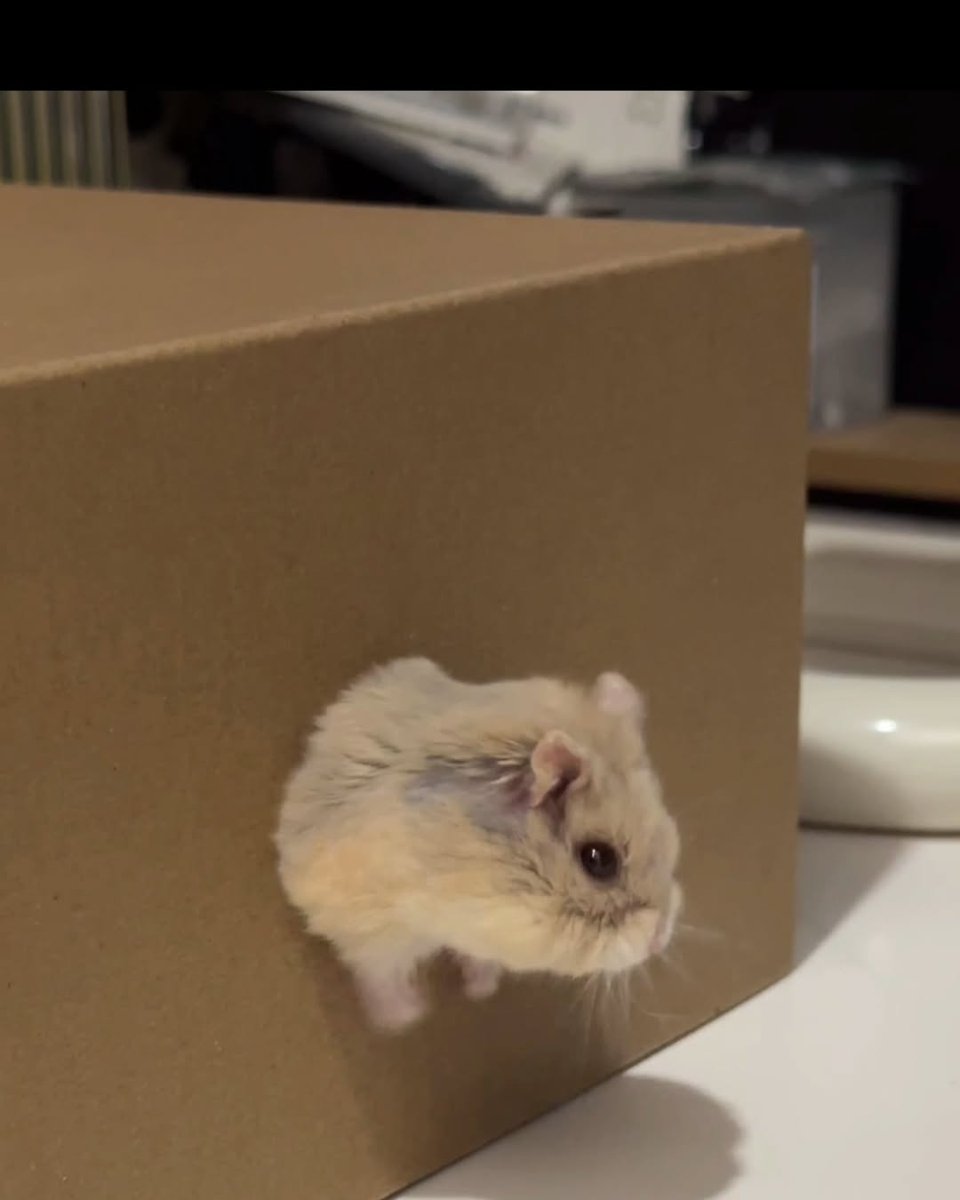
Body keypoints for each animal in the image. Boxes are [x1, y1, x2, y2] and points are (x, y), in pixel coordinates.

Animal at [275, 658, 681, 1032]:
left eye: (670, 837)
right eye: (598, 859)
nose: (660, 940)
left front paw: (478, 993)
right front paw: (419, 1014)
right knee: (378, 970)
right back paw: (404, 1016)